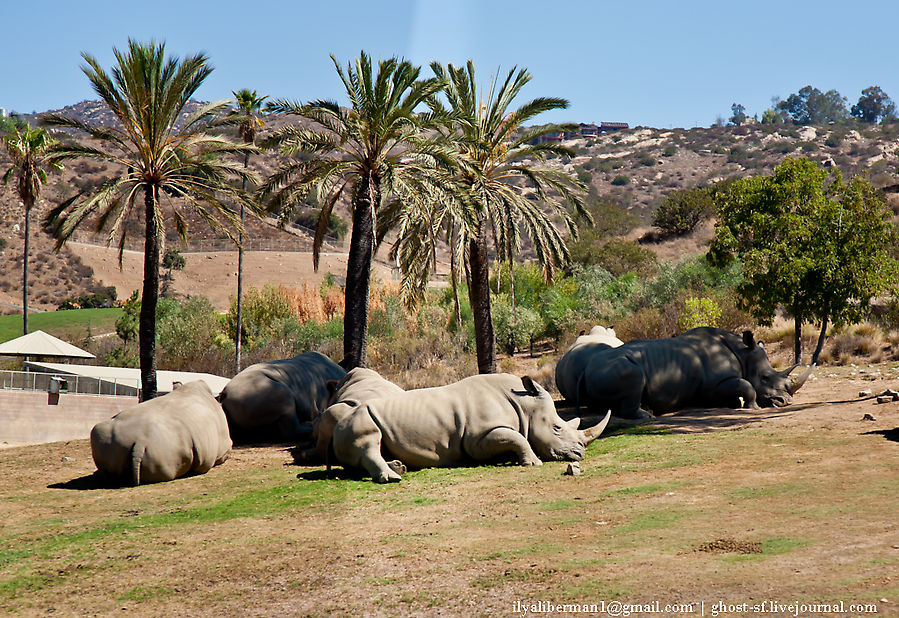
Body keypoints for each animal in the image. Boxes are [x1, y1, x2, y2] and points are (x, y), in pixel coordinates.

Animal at [332, 370, 612, 482]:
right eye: (556, 428)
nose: (579, 453)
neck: (524, 404)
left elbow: (516, 437)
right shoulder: (477, 438)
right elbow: (518, 438)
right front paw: (532, 463)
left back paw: (399, 467)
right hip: (357, 418)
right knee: (369, 442)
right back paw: (393, 478)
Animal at [556, 324, 816, 416]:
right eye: (765, 377)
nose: (785, 402)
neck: (743, 353)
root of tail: (586, 369)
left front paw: (734, 403)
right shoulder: (715, 384)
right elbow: (746, 385)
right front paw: (751, 407)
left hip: (598, 372)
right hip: (615, 368)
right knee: (634, 375)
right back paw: (647, 415)